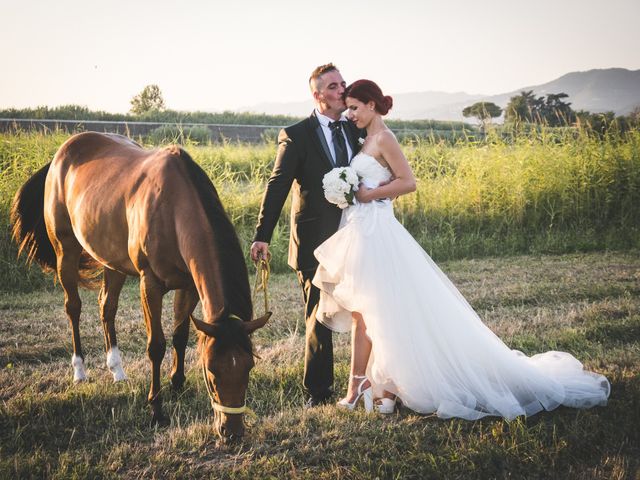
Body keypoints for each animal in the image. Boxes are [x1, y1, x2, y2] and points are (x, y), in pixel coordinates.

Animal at [10, 132, 270, 442]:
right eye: (210, 371)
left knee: (107, 307)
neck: (173, 208)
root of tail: (62, 153)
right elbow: (156, 345)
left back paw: (117, 370)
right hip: (66, 251)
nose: (231, 432)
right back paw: (80, 370)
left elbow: (180, 335)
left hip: (112, 261)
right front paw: (156, 409)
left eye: (249, 366)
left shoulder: (188, 286)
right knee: (73, 307)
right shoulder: (151, 284)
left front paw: (177, 383)